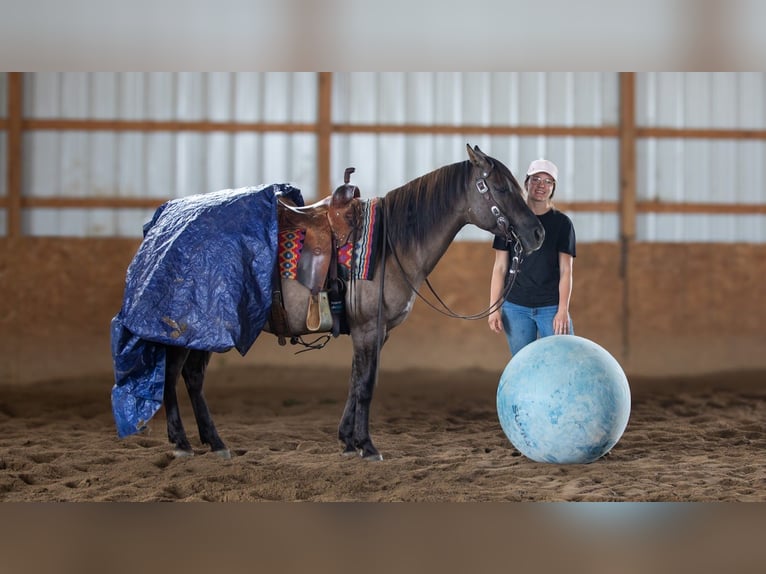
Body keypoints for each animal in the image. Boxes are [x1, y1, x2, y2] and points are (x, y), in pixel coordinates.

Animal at [159, 145, 544, 464]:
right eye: (502, 187)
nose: (537, 234)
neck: (391, 243)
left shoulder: (377, 331)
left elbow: (355, 380)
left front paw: (347, 441)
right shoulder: (369, 328)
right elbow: (367, 384)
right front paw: (367, 446)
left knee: (192, 377)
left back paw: (215, 442)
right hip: (188, 328)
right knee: (174, 374)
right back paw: (181, 443)